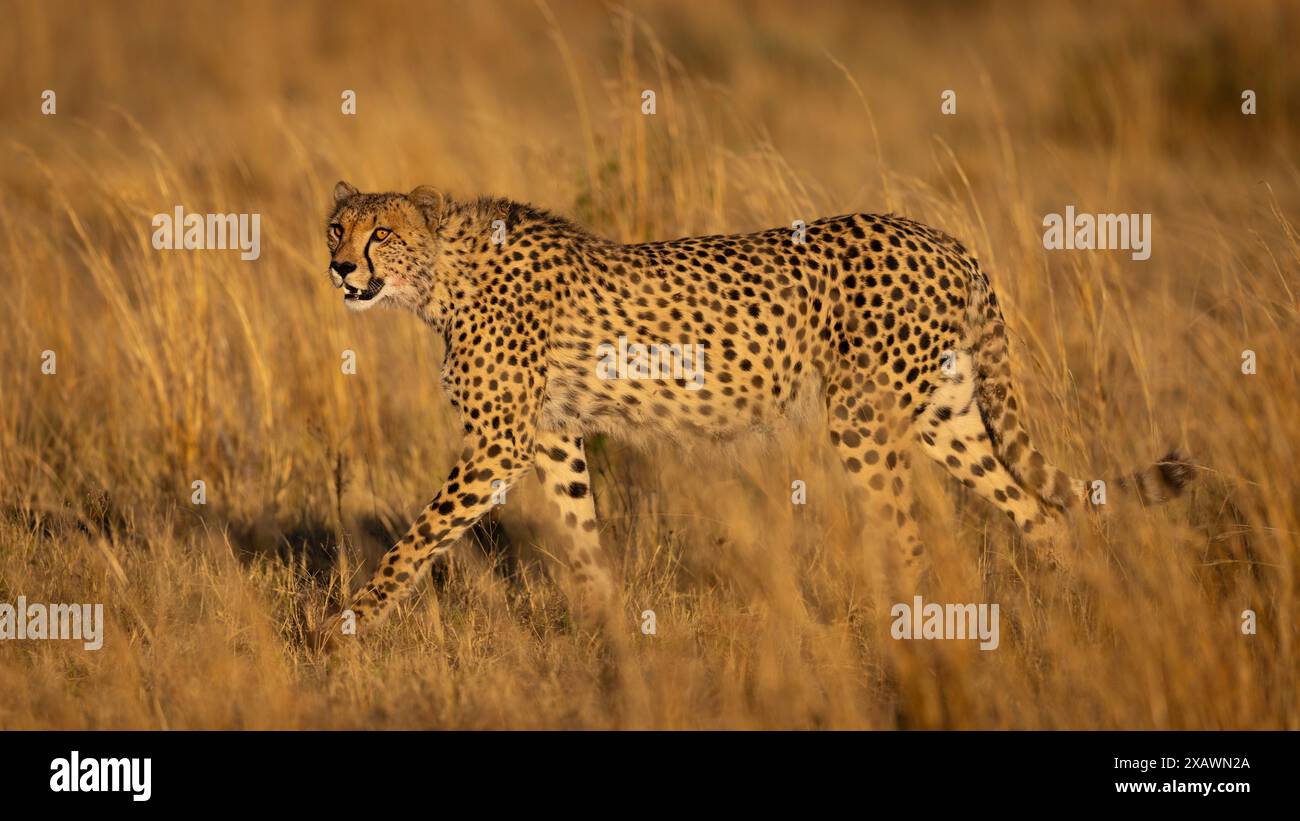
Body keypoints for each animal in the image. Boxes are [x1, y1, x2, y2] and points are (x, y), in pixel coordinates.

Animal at [312, 180, 1190, 646]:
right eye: (337, 225)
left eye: (381, 232)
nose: (339, 268)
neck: (440, 274)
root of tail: (946, 240)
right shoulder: (554, 433)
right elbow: (581, 531)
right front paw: (614, 632)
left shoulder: (499, 442)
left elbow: (416, 537)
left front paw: (342, 626)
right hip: (947, 415)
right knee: (1041, 511)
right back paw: (1087, 612)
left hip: (863, 418)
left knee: (908, 530)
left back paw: (909, 642)